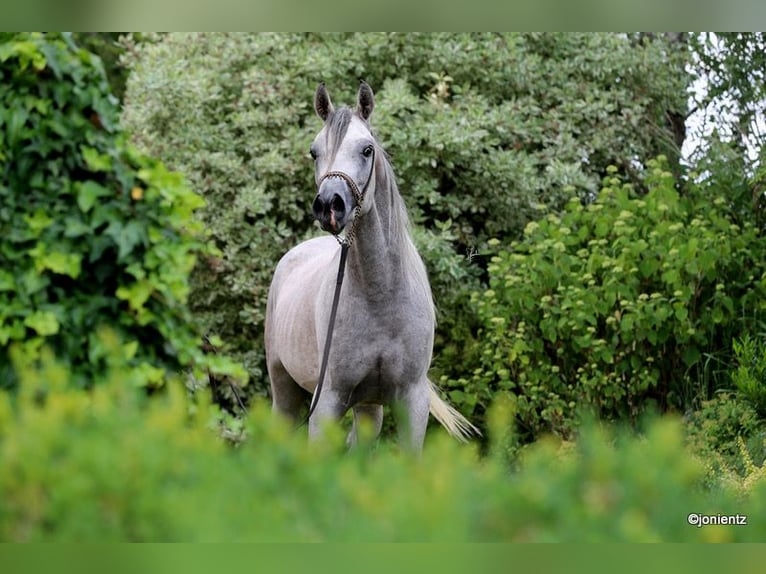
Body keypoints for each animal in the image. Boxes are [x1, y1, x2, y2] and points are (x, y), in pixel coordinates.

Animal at [264, 81, 477, 451]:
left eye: (367, 149)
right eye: (314, 152)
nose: (329, 205)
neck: (382, 296)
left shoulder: (412, 401)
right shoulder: (327, 401)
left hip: (368, 408)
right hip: (284, 388)